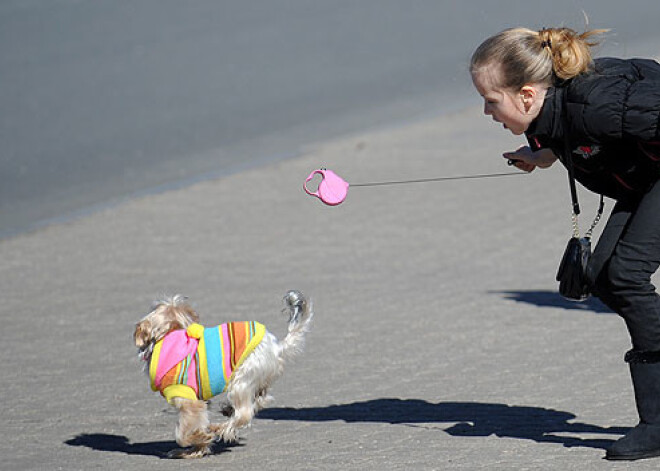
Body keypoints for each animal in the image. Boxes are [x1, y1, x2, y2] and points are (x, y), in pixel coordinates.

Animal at [133, 290, 314, 460]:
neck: (168, 336)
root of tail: (277, 347)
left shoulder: (189, 401)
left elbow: (182, 434)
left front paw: (201, 438)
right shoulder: (201, 402)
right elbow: (199, 423)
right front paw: (195, 449)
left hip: (242, 378)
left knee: (245, 413)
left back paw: (220, 428)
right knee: (261, 400)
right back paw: (227, 412)